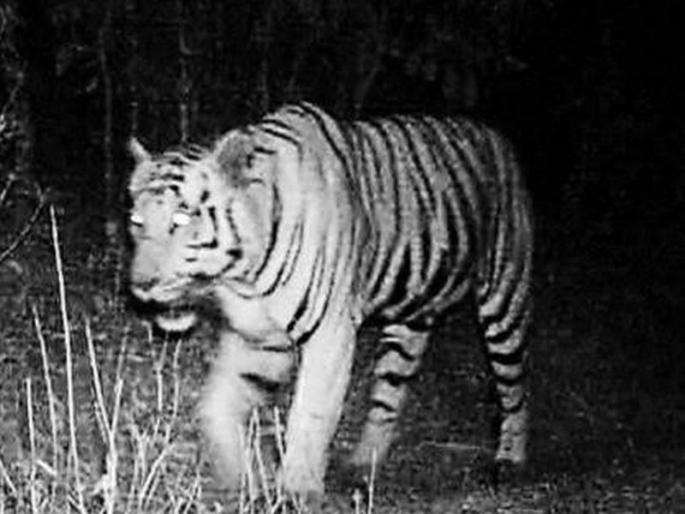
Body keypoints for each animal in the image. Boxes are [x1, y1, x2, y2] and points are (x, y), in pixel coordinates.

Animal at [127, 102, 533, 503]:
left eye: (181, 218)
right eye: (136, 220)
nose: (140, 285)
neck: (242, 277)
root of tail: (499, 139)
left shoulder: (330, 334)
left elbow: (310, 414)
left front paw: (296, 489)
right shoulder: (261, 337)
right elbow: (218, 404)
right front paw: (237, 472)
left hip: (503, 302)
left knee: (514, 389)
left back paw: (509, 461)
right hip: (410, 320)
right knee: (390, 392)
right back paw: (364, 463)